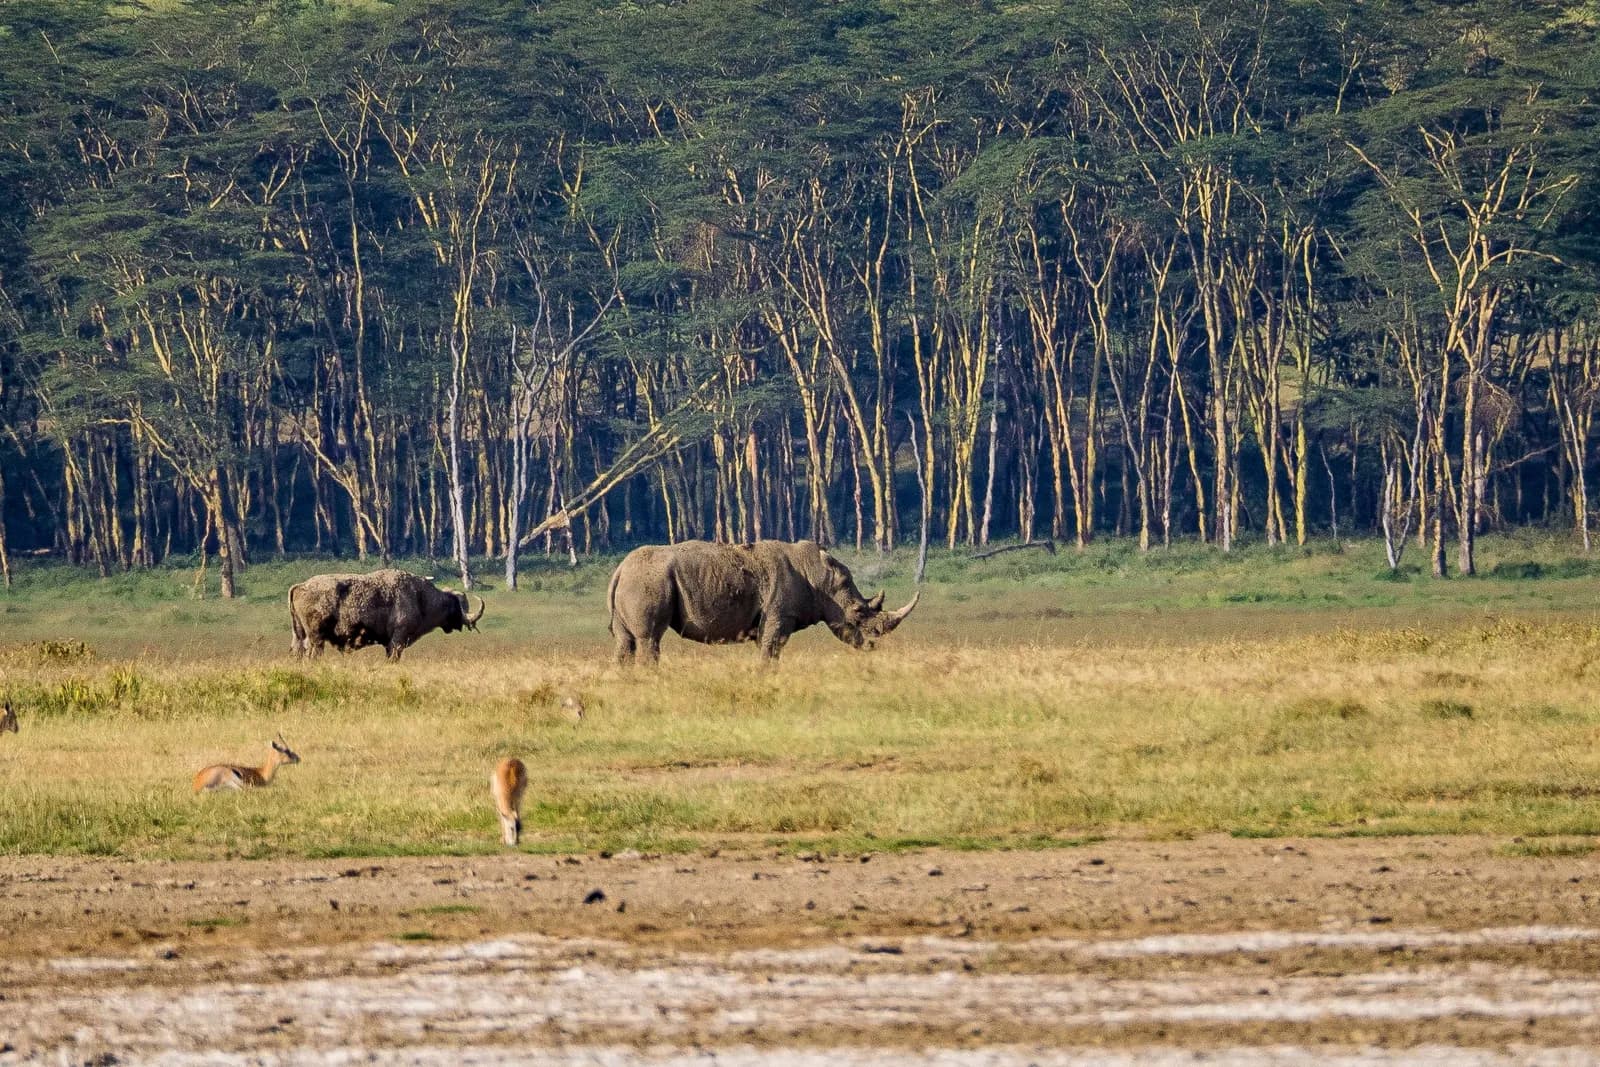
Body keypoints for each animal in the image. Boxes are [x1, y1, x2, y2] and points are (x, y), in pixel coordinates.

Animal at [288, 569, 485, 661]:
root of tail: (300, 586)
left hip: (299, 636)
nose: (467, 621)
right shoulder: (397, 641)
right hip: (316, 639)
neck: (420, 597)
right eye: (458, 606)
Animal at [607, 539, 919, 663]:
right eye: (858, 613)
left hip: (636, 581)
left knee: (625, 641)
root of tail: (620, 569)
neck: (820, 578)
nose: (873, 645)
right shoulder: (780, 613)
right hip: (648, 582)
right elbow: (771, 650)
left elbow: (767, 649)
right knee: (649, 638)